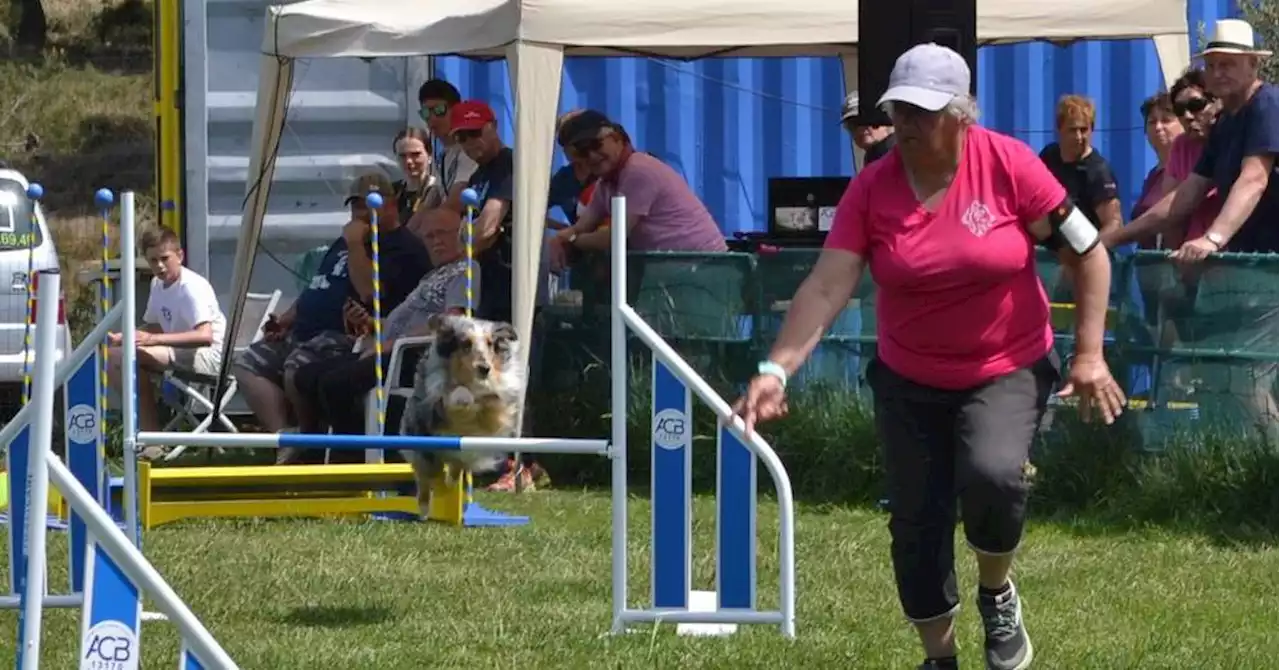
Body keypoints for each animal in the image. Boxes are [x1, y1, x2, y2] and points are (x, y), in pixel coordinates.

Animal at [396, 315, 522, 520]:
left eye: (490, 343)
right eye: (466, 344)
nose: (484, 368)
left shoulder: (498, 407)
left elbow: (493, 400)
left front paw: (485, 392)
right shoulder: (437, 399)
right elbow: (457, 393)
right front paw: (465, 397)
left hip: (460, 450)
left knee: (455, 464)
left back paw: (450, 482)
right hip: (423, 449)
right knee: (425, 480)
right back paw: (424, 510)